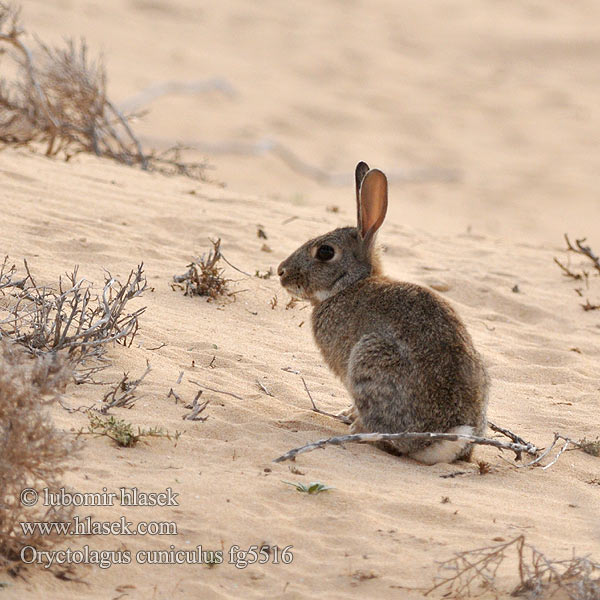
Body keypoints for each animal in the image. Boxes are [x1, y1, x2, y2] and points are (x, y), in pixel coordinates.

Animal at [276, 161, 488, 464]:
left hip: (370, 357)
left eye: (325, 252)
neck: (349, 285)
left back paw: (358, 428)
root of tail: (437, 441)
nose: (281, 271)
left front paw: (347, 415)